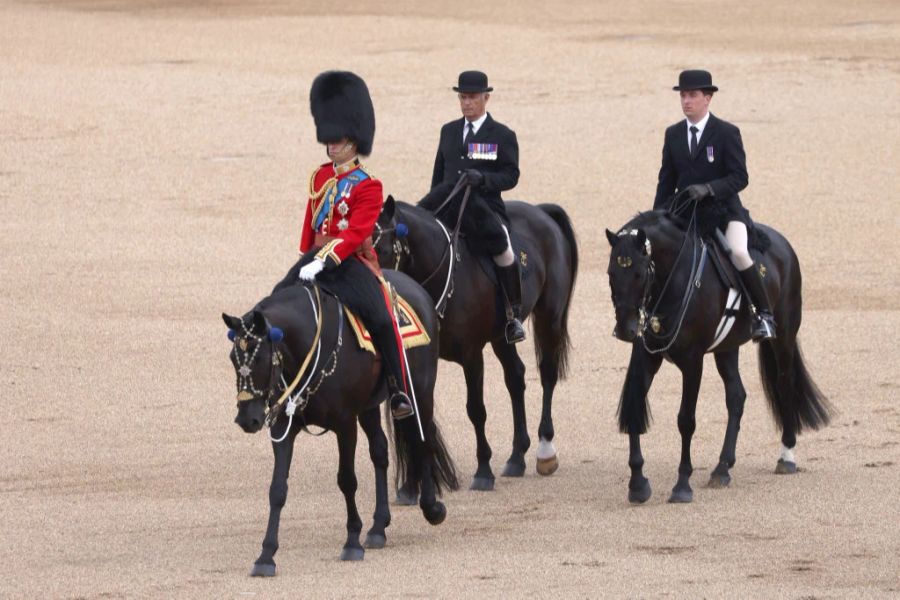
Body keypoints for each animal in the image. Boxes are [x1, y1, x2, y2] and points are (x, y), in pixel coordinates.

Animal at [222, 278, 460, 576]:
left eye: (259, 358)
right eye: (233, 359)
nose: (247, 419)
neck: (308, 348)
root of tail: (415, 287)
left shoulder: (345, 425)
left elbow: (347, 480)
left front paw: (351, 541)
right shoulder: (283, 428)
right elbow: (277, 489)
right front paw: (266, 555)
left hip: (420, 391)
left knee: (422, 438)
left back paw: (431, 508)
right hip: (369, 406)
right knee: (380, 451)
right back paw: (378, 527)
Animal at [372, 193, 576, 492]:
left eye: (385, 250)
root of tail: (540, 211)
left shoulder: (471, 356)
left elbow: (476, 410)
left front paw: (483, 471)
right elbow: (413, 413)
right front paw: (410, 486)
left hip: (549, 317)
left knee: (547, 375)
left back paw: (545, 449)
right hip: (502, 336)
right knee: (516, 377)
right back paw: (517, 456)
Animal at [604, 209, 828, 504]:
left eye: (640, 274)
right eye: (611, 273)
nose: (625, 329)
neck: (672, 279)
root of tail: (782, 243)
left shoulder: (693, 361)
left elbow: (686, 420)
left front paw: (682, 485)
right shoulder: (647, 357)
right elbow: (634, 408)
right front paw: (638, 484)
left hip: (784, 336)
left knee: (784, 383)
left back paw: (786, 456)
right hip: (726, 347)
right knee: (736, 396)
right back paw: (722, 468)